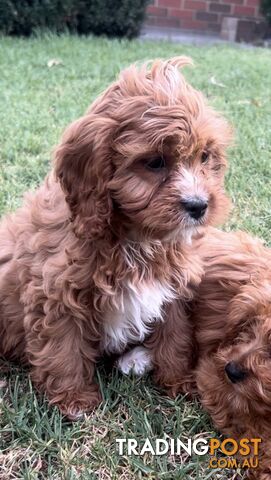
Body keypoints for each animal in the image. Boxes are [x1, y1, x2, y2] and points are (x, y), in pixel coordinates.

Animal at [0, 56, 232, 418]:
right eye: (155, 162)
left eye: (205, 156)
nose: (198, 206)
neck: (136, 238)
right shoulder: (56, 294)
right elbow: (63, 349)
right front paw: (74, 400)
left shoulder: (173, 289)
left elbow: (175, 335)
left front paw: (179, 381)